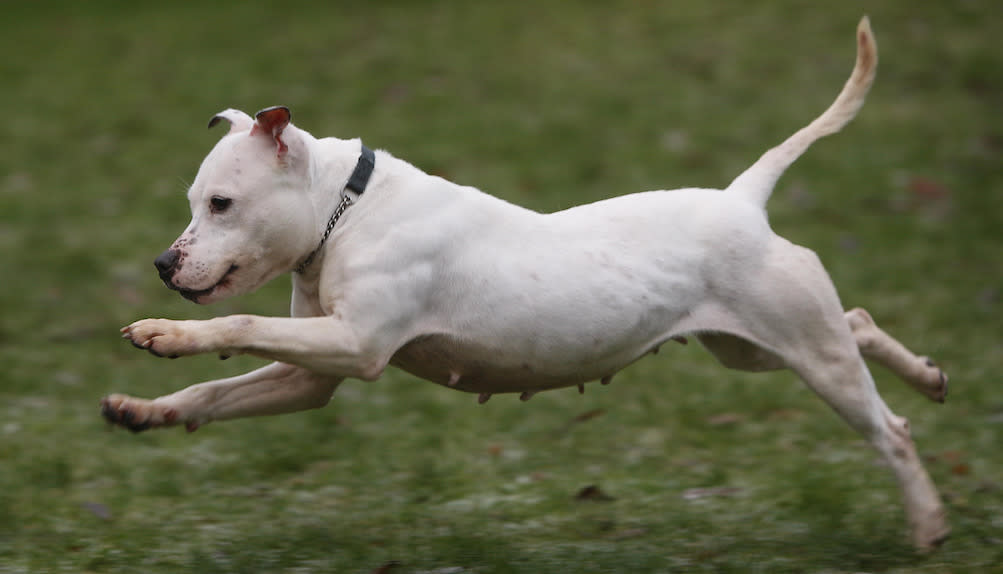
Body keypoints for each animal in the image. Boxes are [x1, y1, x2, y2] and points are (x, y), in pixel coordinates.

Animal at [101, 16, 946, 545]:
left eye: (221, 203)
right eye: (193, 203)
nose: (164, 264)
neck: (346, 208)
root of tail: (742, 199)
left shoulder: (355, 344)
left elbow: (237, 326)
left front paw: (166, 333)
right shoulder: (310, 371)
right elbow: (215, 393)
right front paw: (145, 409)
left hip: (805, 355)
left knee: (891, 430)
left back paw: (927, 524)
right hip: (755, 347)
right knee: (857, 323)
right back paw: (928, 375)